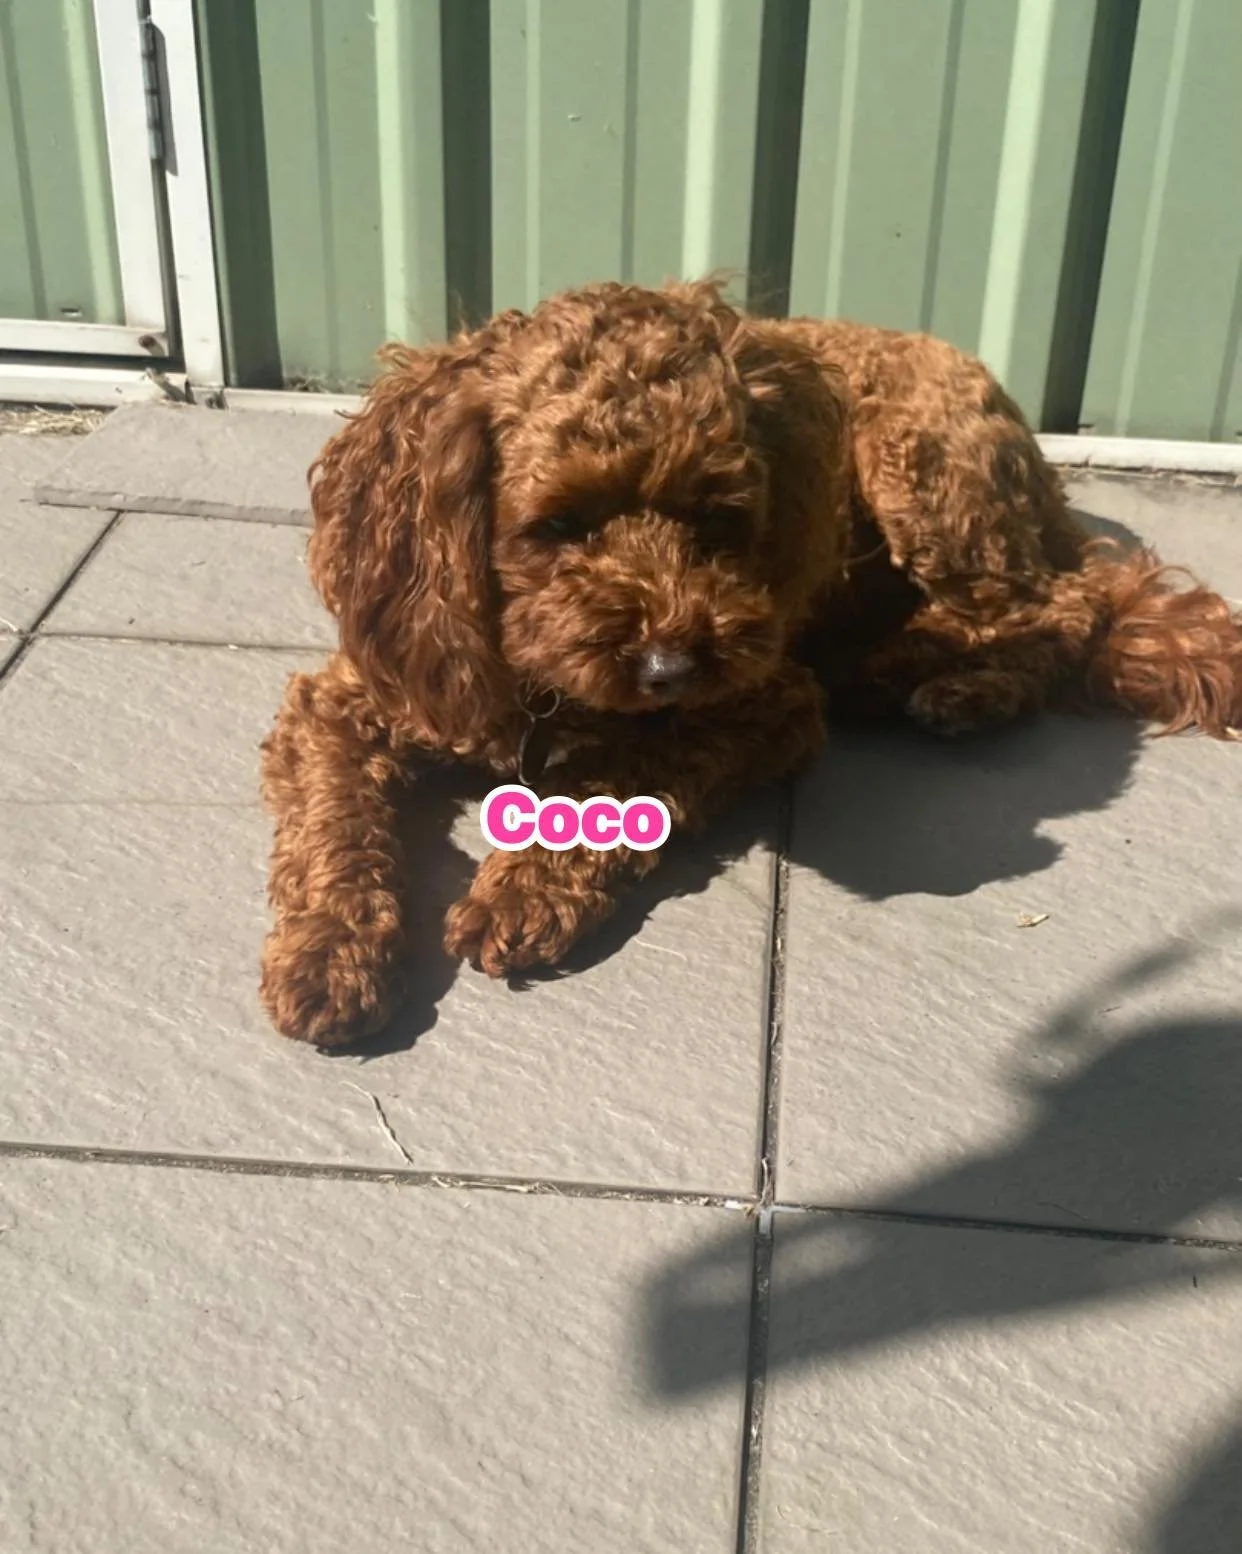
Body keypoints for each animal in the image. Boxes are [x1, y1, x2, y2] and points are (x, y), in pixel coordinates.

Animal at [259, 279, 1242, 1046]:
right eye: (556, 526)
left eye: (718, 517)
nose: (668, 668)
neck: (546, 698)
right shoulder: (345, 705)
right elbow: (334, 830)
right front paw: (327, 954)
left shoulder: (767, 705)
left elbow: (623, 775)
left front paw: (525, 886)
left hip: (922, 468)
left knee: (1055, 607)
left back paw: (947, 680)